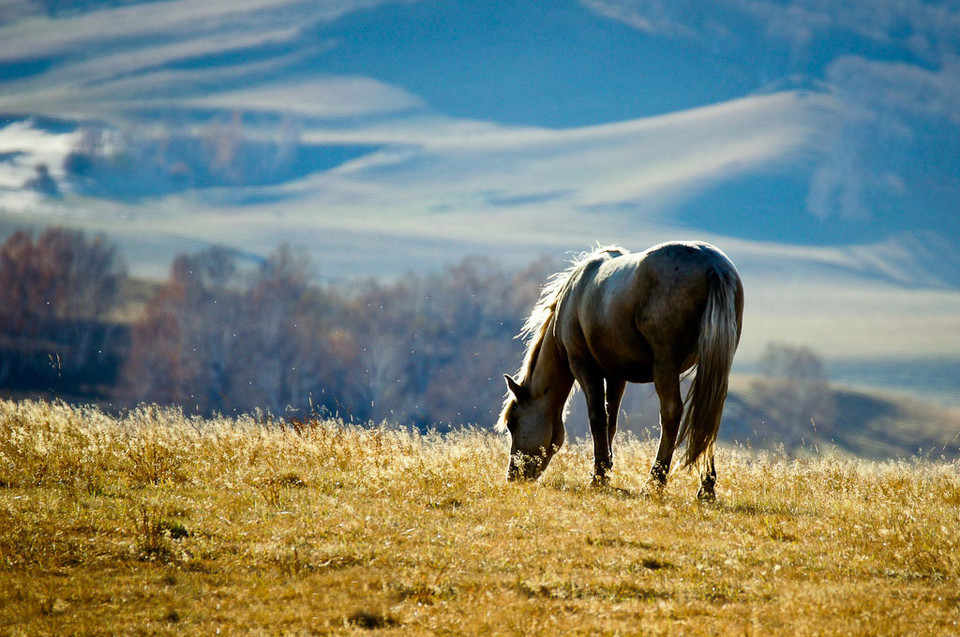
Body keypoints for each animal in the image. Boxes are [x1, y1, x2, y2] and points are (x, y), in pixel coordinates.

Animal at [498, 241, 748, 500]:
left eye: (512, 423)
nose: (513, 476)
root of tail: (714, 266)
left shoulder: (584, 366)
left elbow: (597, 417)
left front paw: (598, 477)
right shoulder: (616, 375)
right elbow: (611, 419)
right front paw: (605, 470)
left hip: (665, 365)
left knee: (672, 413)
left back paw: (655, 482)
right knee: (708, 417)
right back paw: (706, 488)